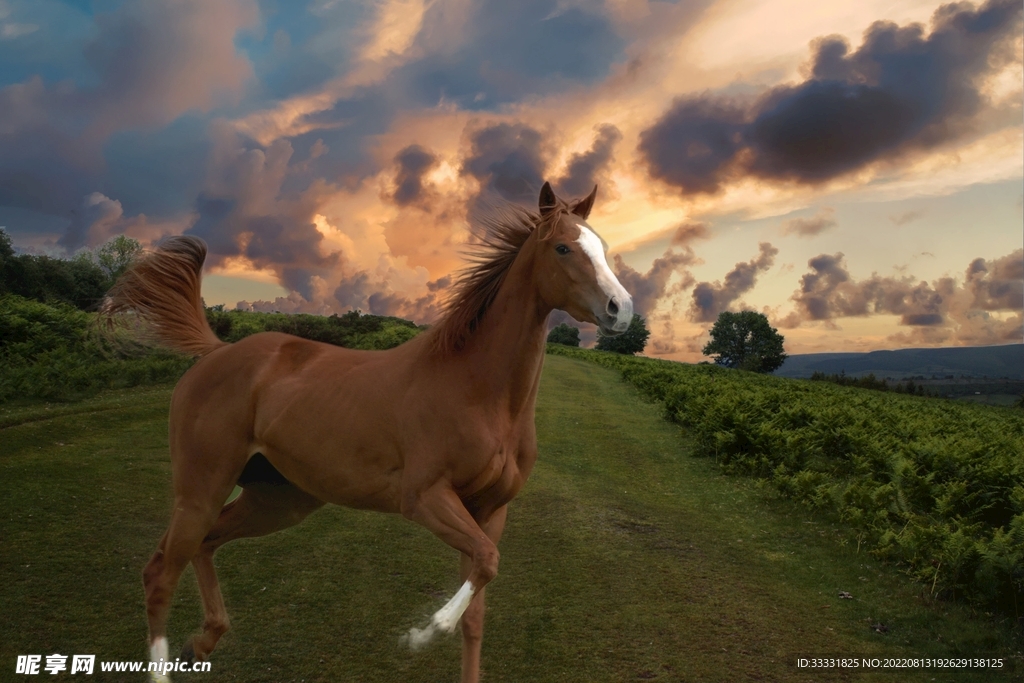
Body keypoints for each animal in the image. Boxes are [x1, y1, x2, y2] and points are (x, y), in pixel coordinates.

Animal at [102, 182, 634, 683]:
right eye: (563, 247)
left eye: (602, 245)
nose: (621, 309)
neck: (477, 391)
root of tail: (217, 352)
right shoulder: (424, 498)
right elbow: (486, 562)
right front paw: (422, 633)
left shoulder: (490, 510)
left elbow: (477, 609)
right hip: (201, 489)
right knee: (160, 573)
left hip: (277, 499)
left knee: (205, 545)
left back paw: (202, 643)